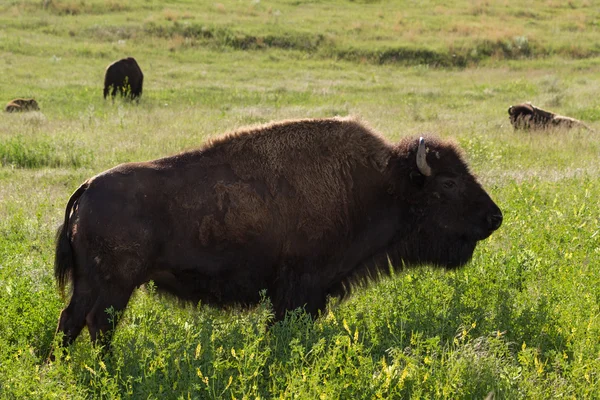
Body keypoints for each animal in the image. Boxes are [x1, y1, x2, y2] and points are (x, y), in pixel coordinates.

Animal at [51, 115, 504, 354]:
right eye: (448, 183)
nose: (494, 217)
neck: (382, 185)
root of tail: (87, 187)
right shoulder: (300, 290)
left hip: (90, 283)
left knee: (71, 320)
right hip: (116, 285)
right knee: (97, 323)